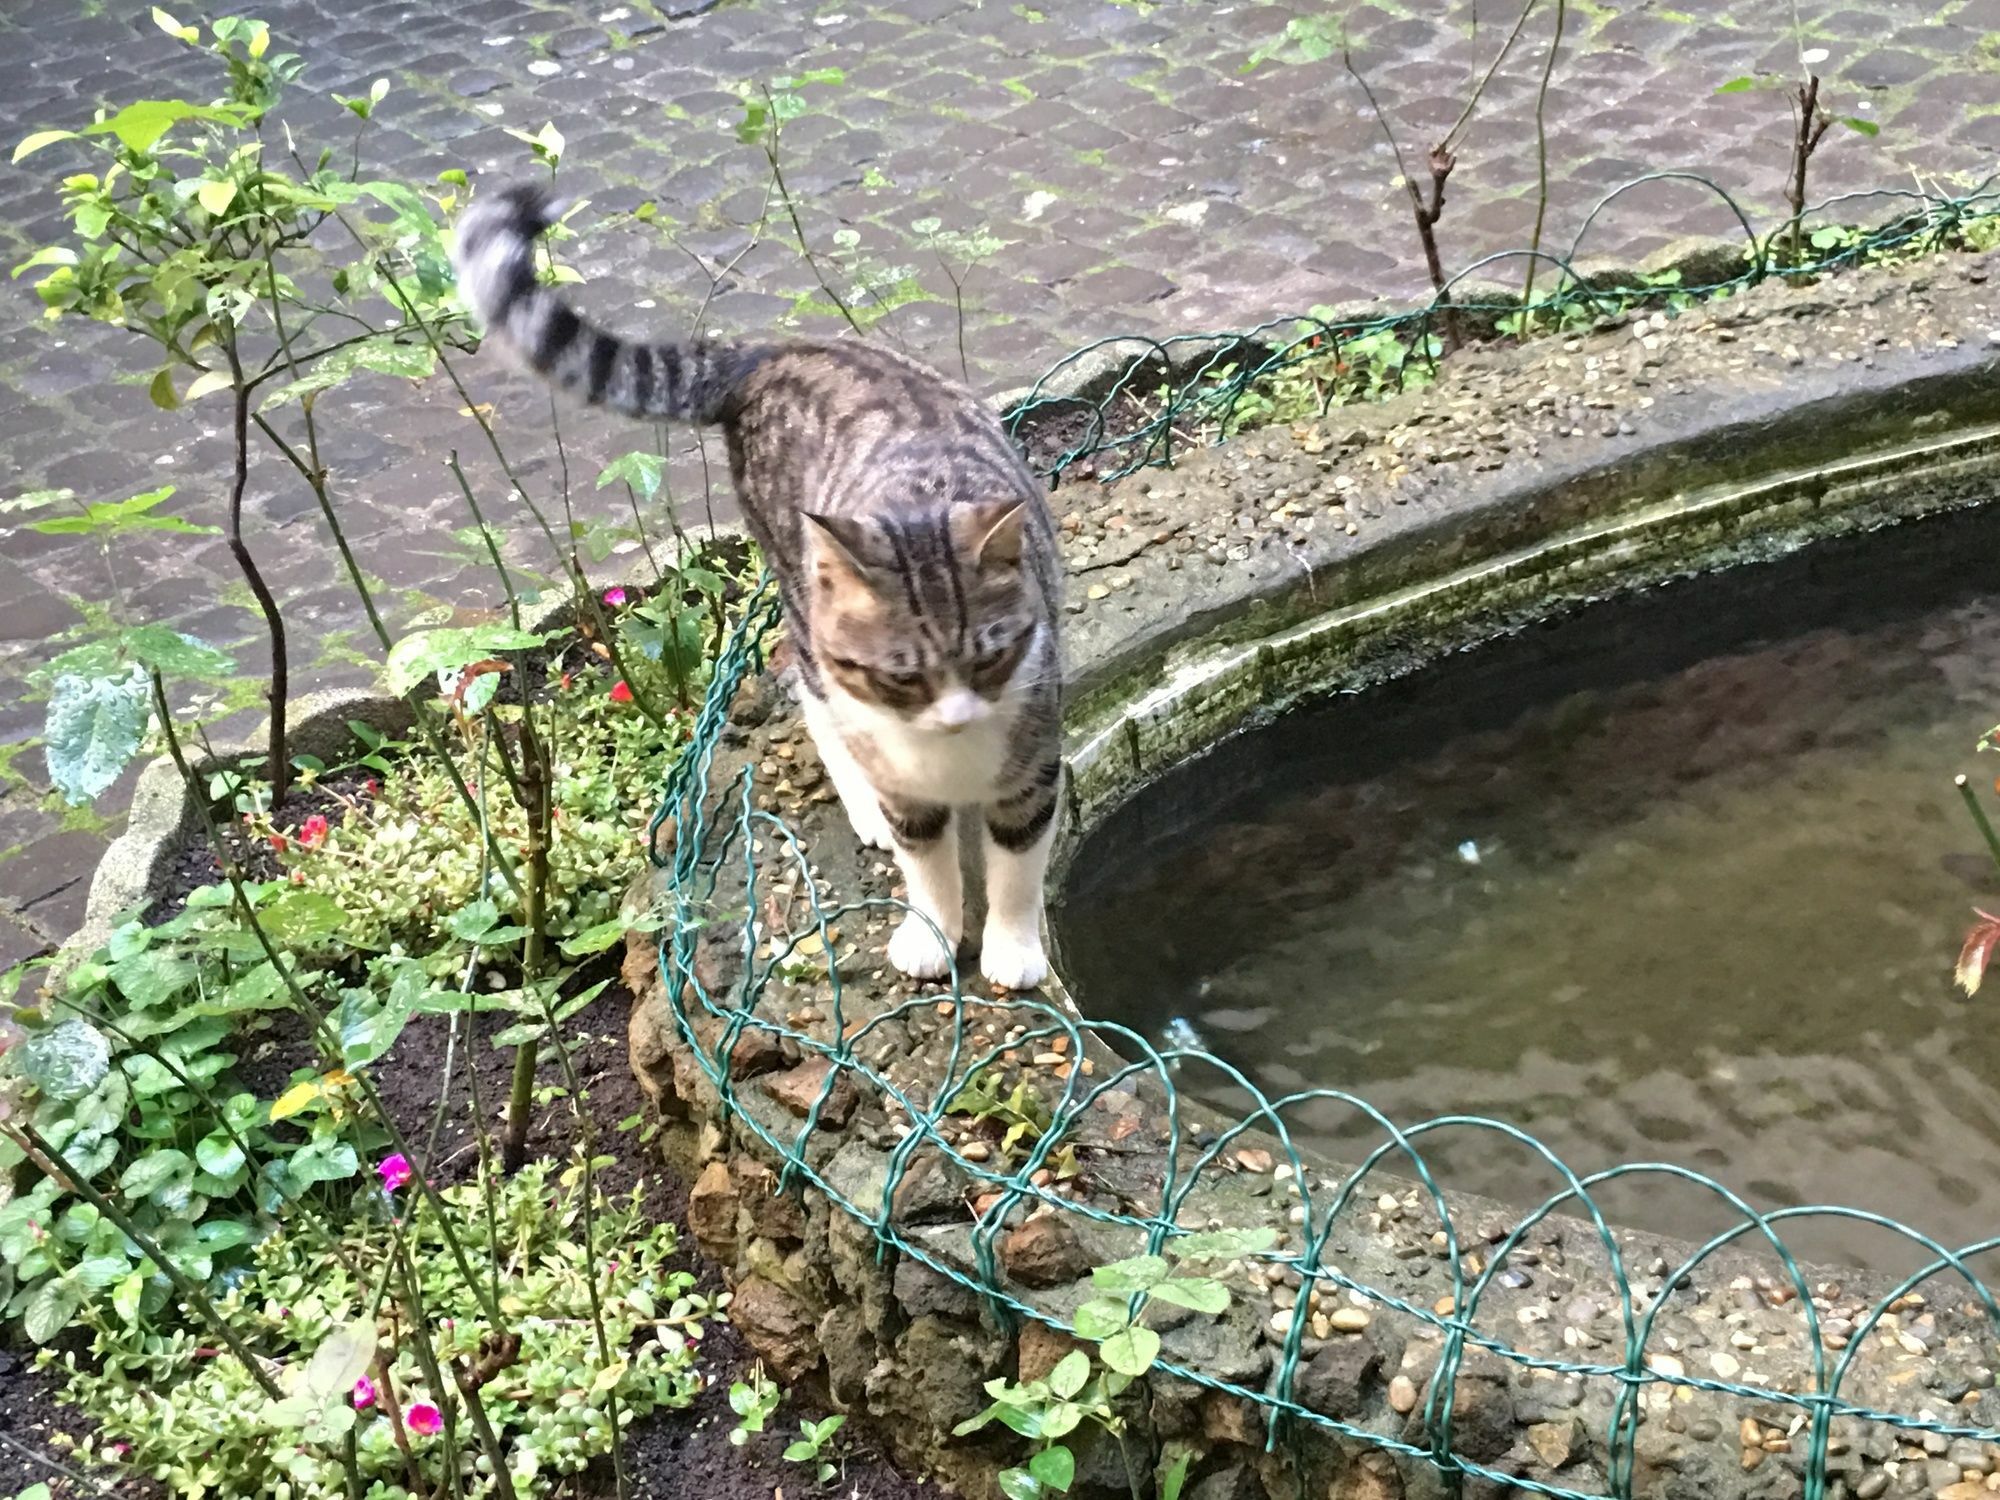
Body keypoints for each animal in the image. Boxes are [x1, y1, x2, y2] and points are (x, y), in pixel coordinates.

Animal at [456, 182, 1072, 992]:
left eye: (991, 657)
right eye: (902, 677)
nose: (957, 717)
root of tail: (775, 352)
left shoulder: (1034, 757)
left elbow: (1020, 864)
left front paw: (1013, 944)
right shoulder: (903, 774)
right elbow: (927, 864)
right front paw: (932, 932)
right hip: (797, 586)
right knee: (809, 685)